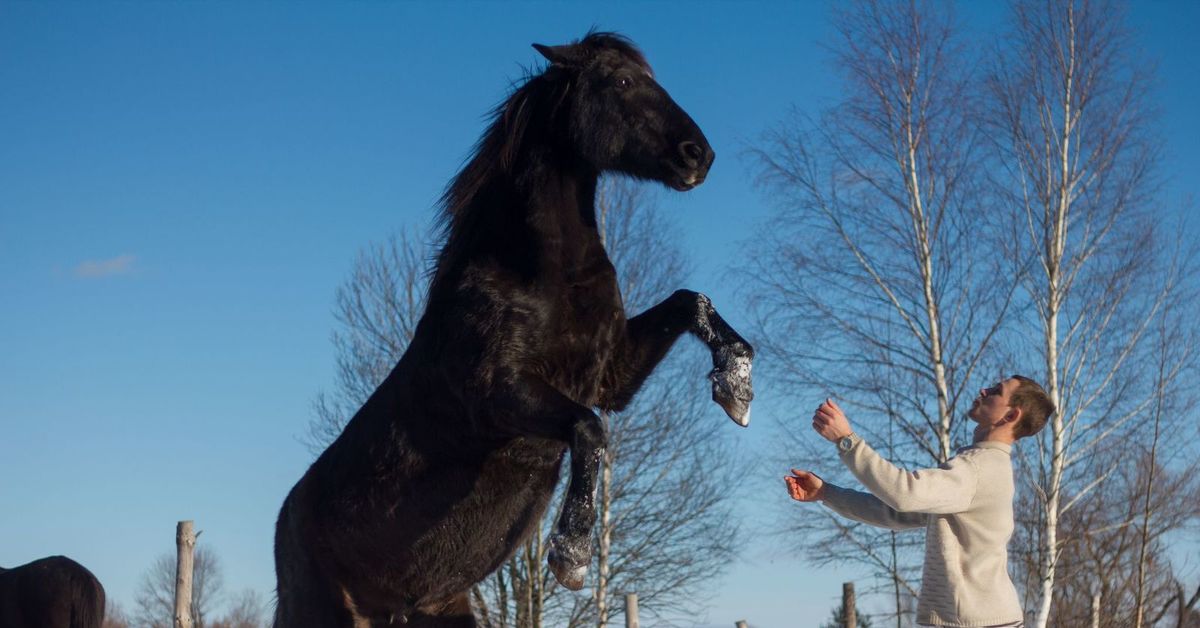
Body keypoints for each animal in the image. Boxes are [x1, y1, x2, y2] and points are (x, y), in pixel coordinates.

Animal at [276, 34, 753, 628]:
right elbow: (589, 429)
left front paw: (736, 389)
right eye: (620, 81)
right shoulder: (499, 395)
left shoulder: (611, 377)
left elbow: (692, 303)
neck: (541, 275)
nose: (698, 155)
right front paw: (570, 553)